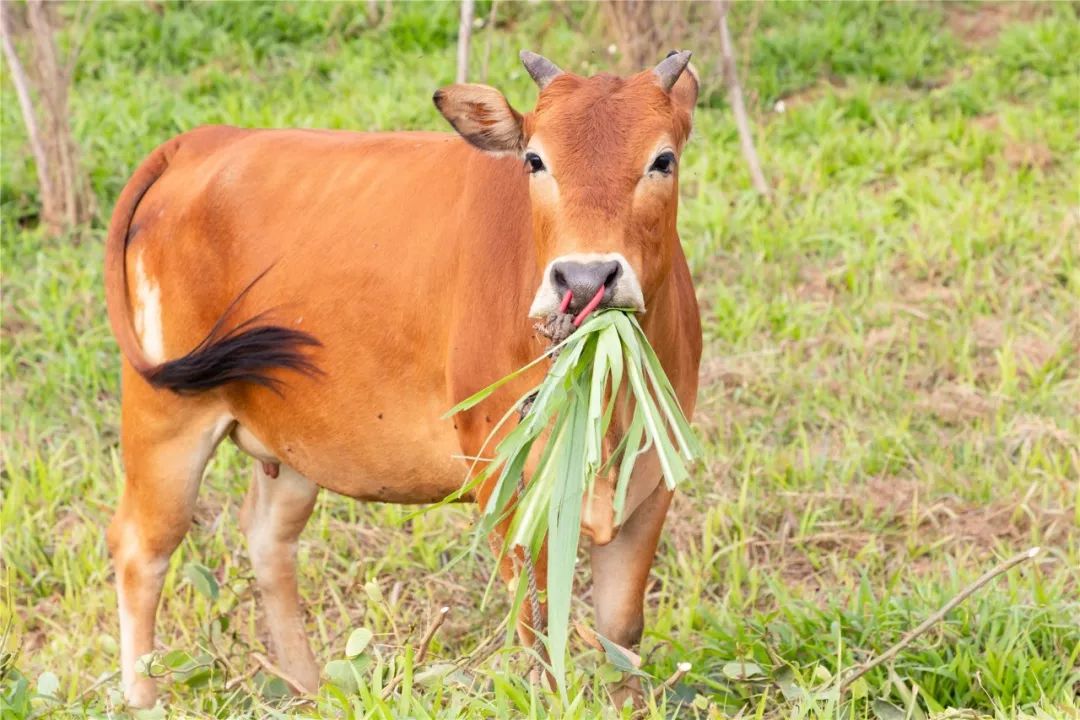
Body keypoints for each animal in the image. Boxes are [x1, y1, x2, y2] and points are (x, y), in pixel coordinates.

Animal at [105, 52, 704, 708]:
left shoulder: (651, 483)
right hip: (167, 414)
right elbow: (540, 633)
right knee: (141, 548)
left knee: (266, 537)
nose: (584, 278)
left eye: (663, 159)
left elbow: (621, 636)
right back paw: (143, 700)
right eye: (535, 159)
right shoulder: (503, 479)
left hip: (295, 438)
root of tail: (201, 141)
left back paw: (310, 687)